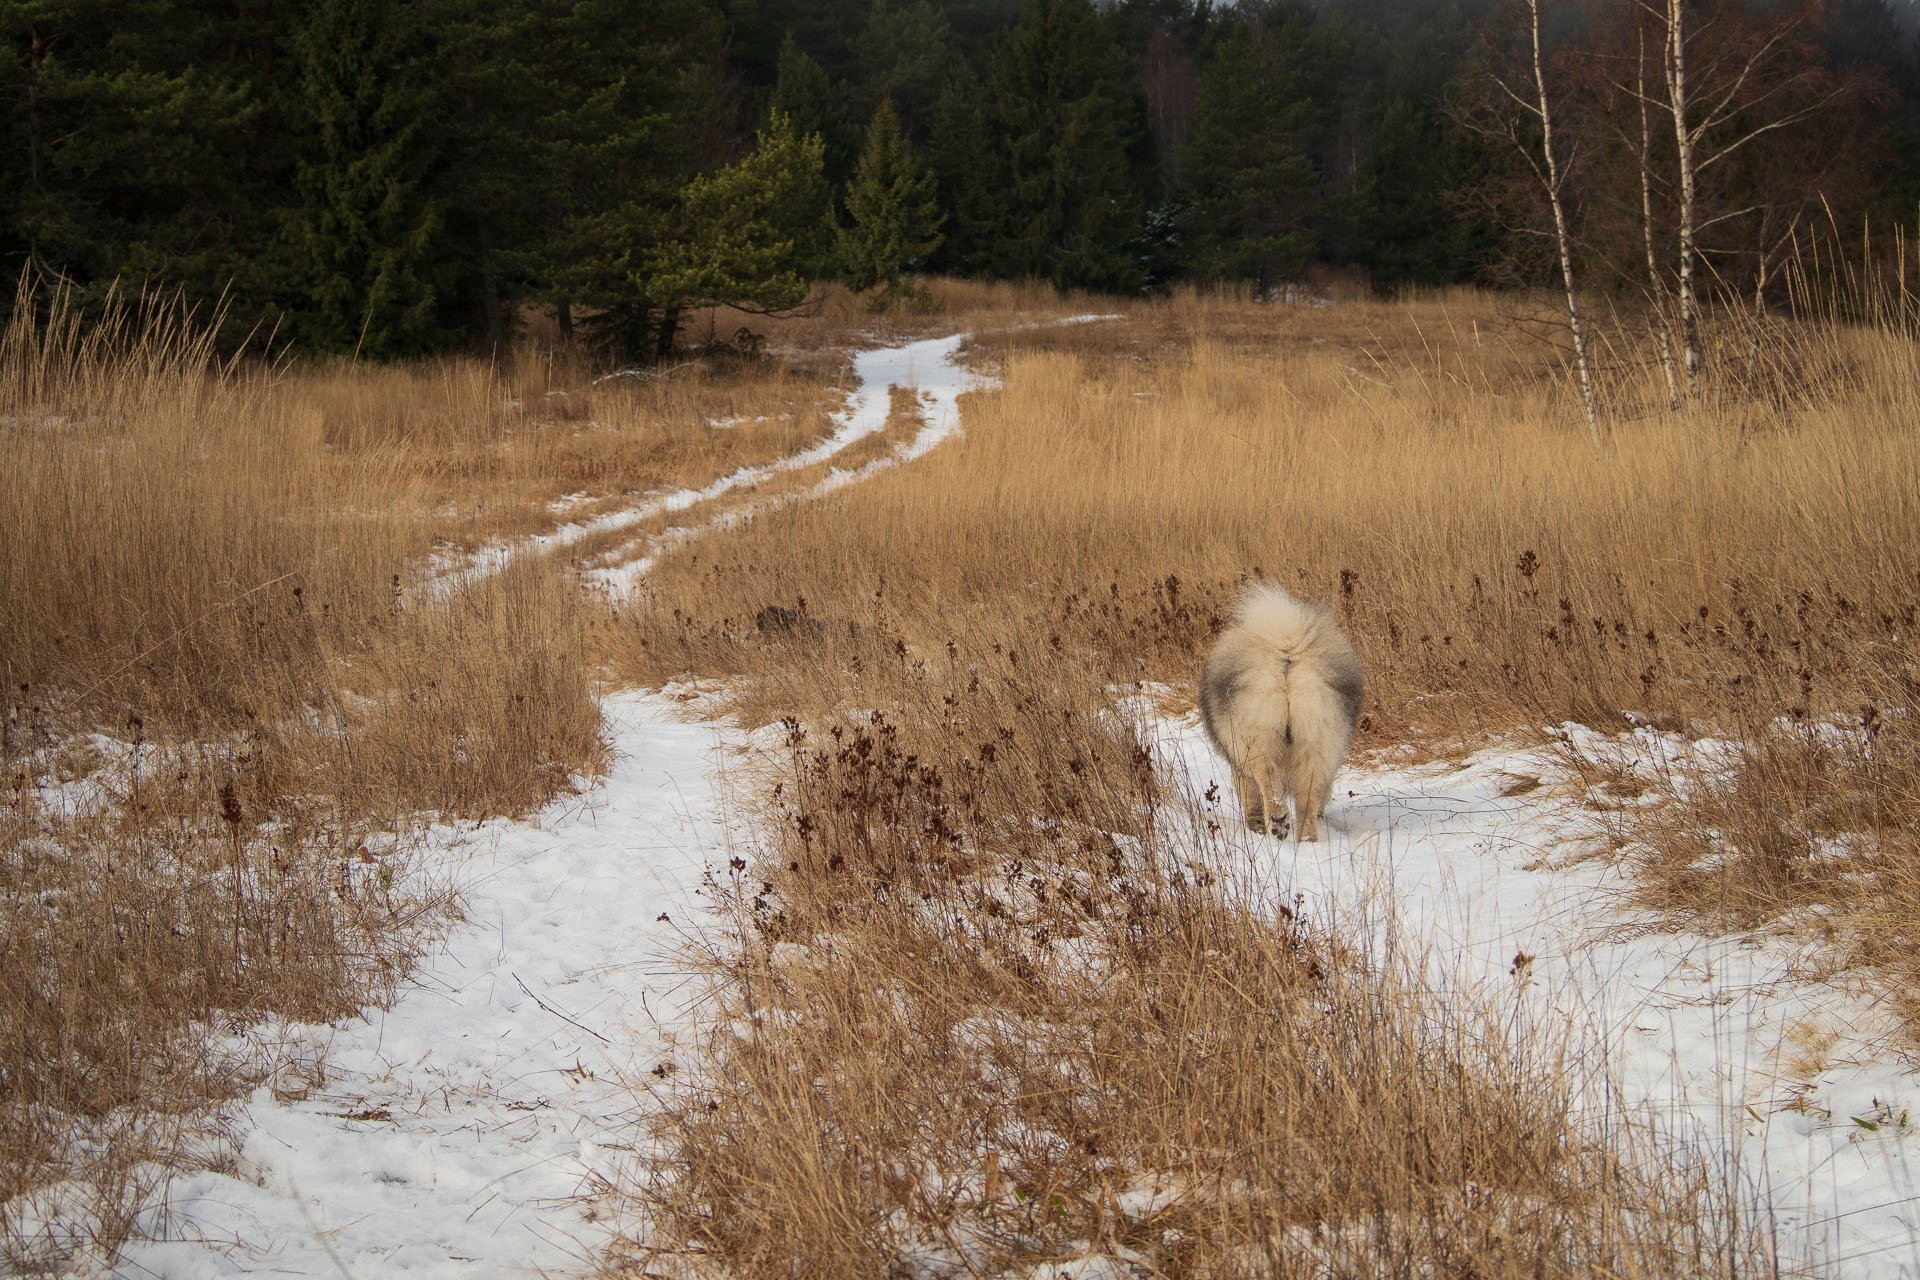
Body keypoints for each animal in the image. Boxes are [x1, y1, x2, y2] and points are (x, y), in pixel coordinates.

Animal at [1198, 579, 1367, 840]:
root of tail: (1286, 654)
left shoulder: (1238, 759)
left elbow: (1249, 795)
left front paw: (1255, 825)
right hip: (1316, 736)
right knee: (1307, 798)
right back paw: (1306, 839)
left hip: (1257, 734)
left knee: (1268, 777)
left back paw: (1278, 821)